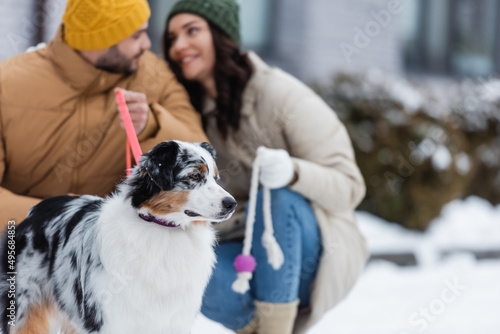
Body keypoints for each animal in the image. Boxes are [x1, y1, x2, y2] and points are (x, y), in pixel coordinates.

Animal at [0, 141, 236, 334]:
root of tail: (35, 210)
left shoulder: (172, 320)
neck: (163, 228)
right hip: (27, 307)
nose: (231, 204)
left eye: (216, 178)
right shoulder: (113, 318)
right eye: (195, 176)